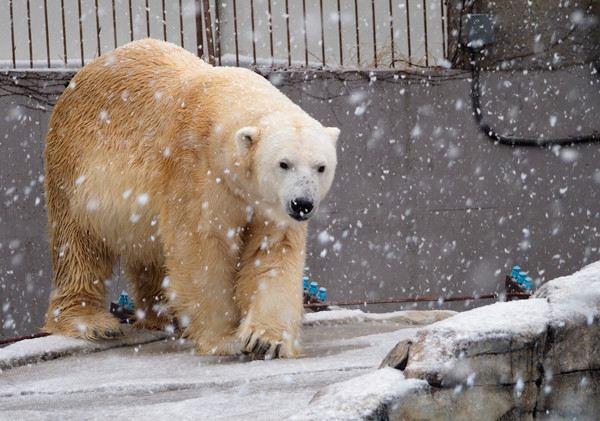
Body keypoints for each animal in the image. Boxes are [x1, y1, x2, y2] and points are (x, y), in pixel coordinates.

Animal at [43, 38, 338, 358]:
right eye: (284, 163)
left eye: (321, 167)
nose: (302, 204)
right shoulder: (195, 170)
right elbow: (201, 247)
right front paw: (225, 338)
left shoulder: (268, 204)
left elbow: (273, 252)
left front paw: (266, 340)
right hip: (74, 166)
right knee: (79, 245)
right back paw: (91, 321)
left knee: (150, 257)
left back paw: (163, 317)